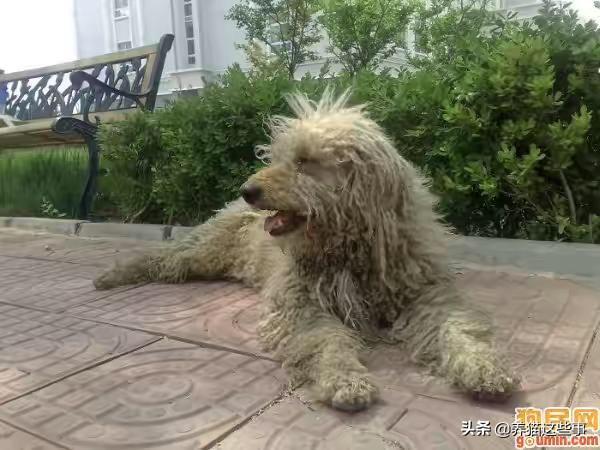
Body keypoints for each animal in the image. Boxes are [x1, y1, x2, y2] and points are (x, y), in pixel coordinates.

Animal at [95, 89, 520, 412]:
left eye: (304, 161)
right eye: (280, 157)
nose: (247, 191)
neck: (350, 245)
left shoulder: (427, 295)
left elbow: (457, 329)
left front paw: (482, 366)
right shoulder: (301, 303)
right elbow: (327, 340)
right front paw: (343, 377)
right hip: (202, 249)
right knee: (160, 259)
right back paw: (111, 275)